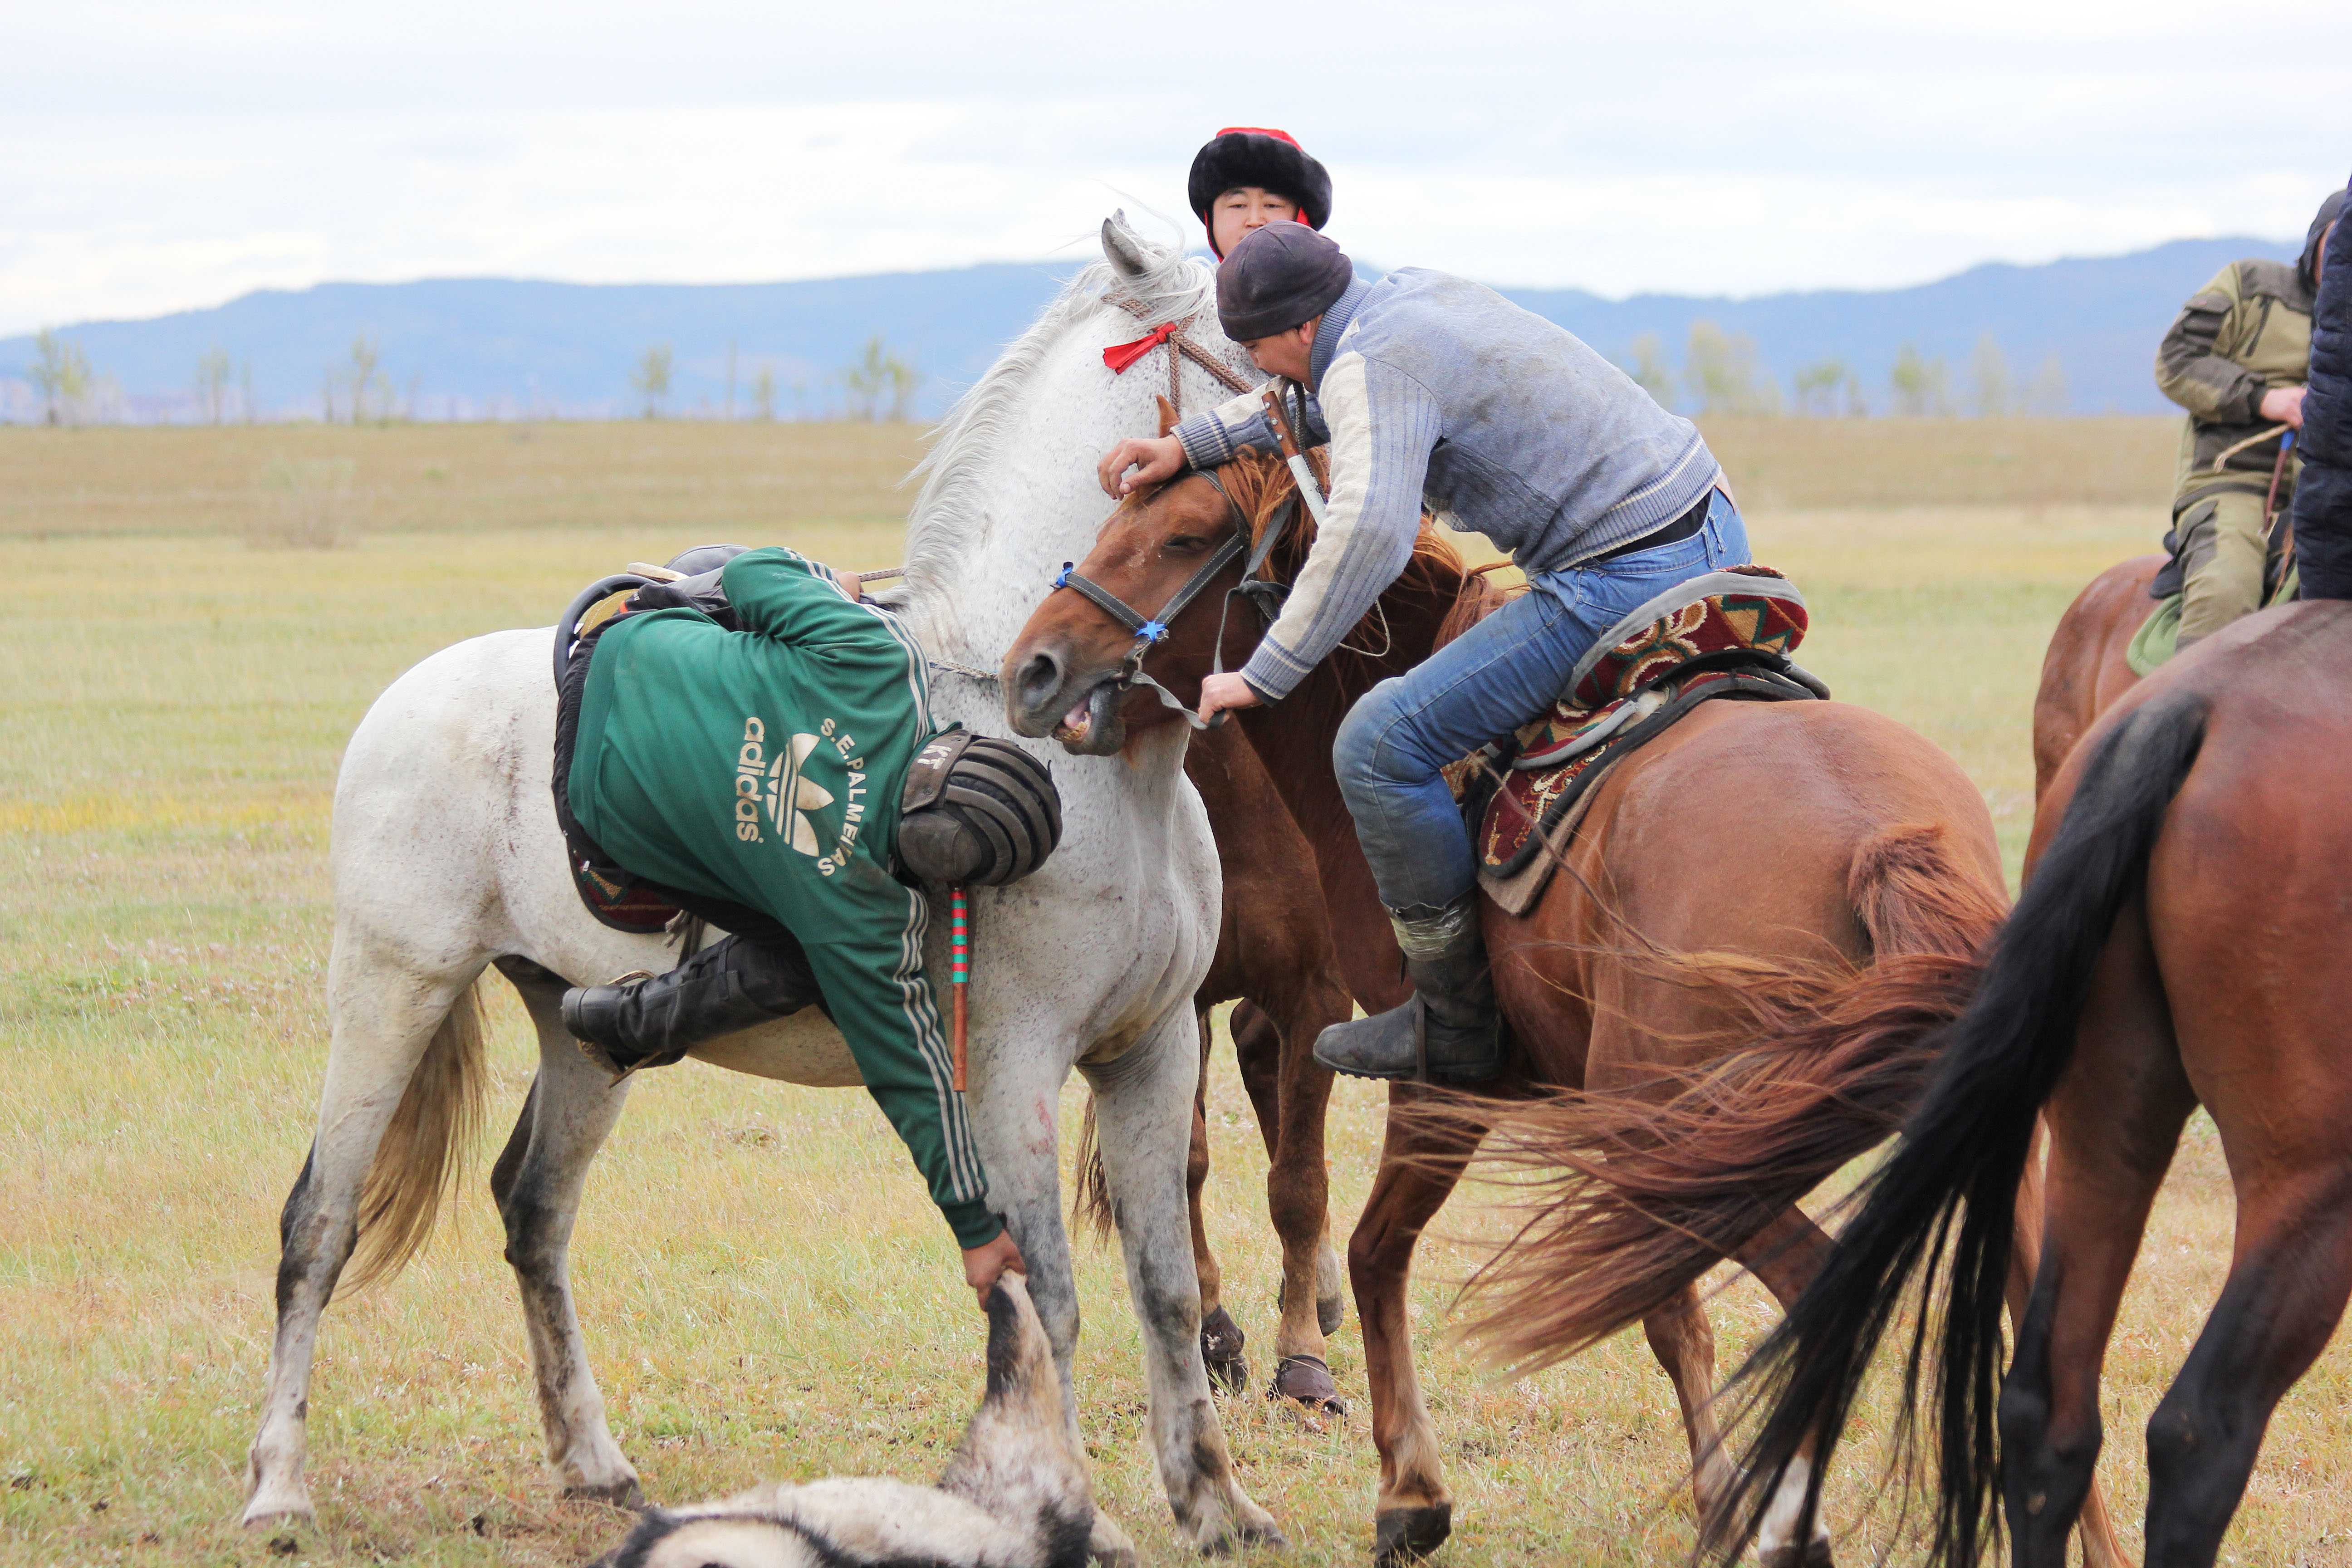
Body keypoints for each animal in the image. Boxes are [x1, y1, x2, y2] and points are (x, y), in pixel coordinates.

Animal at [239, 215, 1279, 1561]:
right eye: (1250, 336)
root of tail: (402, 699)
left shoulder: (1149, 1051)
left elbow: (1163, 1284)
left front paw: (1216, 1504)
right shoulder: (1010, 1072)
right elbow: (1044, 1294)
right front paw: (1079, 1512)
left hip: (576, 1029)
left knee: (535, 1210)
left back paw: (593, 1463)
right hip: (389, 990)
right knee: (320, 1222)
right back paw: (278, 1484)